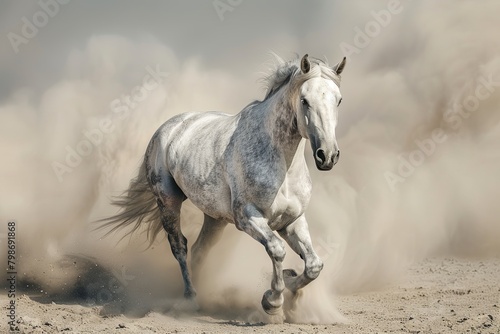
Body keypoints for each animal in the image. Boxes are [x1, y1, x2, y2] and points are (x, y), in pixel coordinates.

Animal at [99, 54, 346, 316]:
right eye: (304, 100)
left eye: (339, 100)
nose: (327, 155)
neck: (282, 168)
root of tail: (168, 127)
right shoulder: (247, 218)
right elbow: (277, 250)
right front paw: (272, 301)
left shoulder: (292, 221)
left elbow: (314, 265)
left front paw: (290, 286)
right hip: (168, 202)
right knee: (180, 246)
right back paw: (191, 297)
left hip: (215, 218)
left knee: (199, 250)